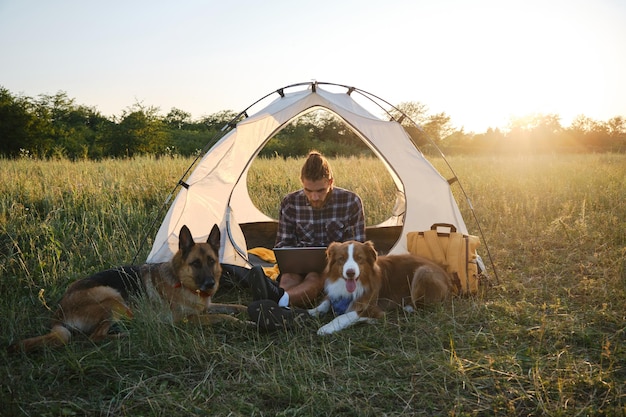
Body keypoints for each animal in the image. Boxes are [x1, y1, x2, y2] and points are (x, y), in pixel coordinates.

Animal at [9, 223, 246, 352]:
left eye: (211, 261)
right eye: (196, 263)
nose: (210, 283)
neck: (182, 282)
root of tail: (58, 313)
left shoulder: (208, 306)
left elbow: (233, 307)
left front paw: (245, 311)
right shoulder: (188, 319)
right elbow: (224, 317)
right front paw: (241, 322)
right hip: (113, 299)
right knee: (94, 338)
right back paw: (126, 335)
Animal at [308, 239, 450, 334]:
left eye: (359, 258)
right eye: (341, 259)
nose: (350, 273)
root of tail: (445, 273)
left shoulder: (372, 307)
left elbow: (345, 316)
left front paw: (327, 327)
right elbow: (326, 302)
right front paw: (313, 311)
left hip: (423, 272)